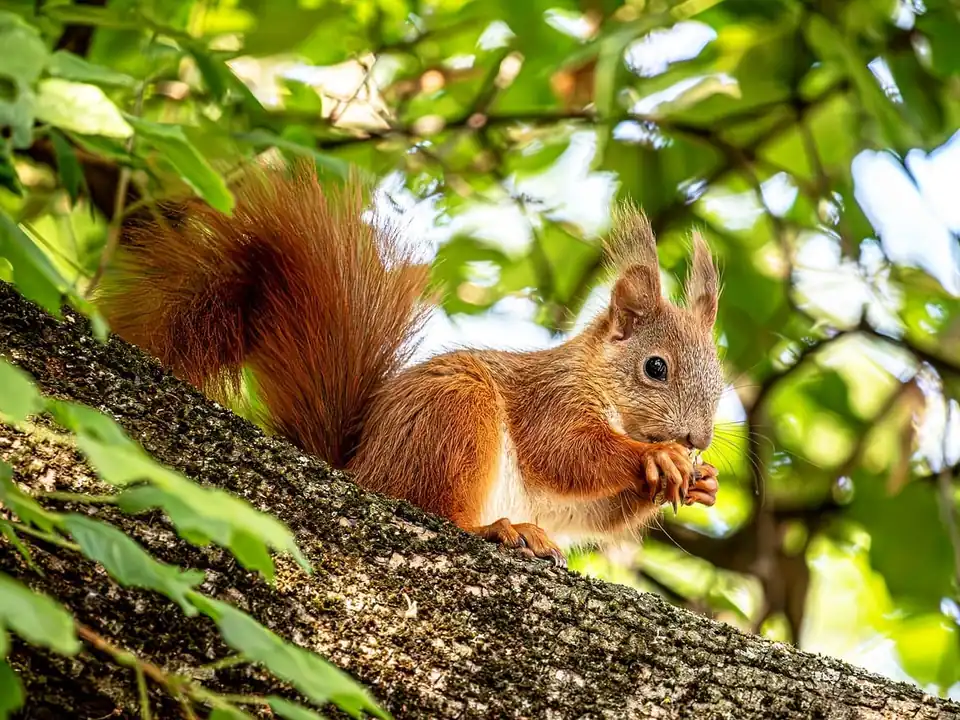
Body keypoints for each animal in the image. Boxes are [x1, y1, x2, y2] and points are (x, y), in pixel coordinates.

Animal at [96, 161, 724, 566]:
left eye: (720, 384)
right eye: (656, 368)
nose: (698, 439)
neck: (601, 384)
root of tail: (361, 469)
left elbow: (589, 512)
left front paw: (699, 483)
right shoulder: (552, 398)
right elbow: (567, 453)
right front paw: (655, 457)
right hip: (453, 417)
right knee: (438, 509)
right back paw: (501, 529)